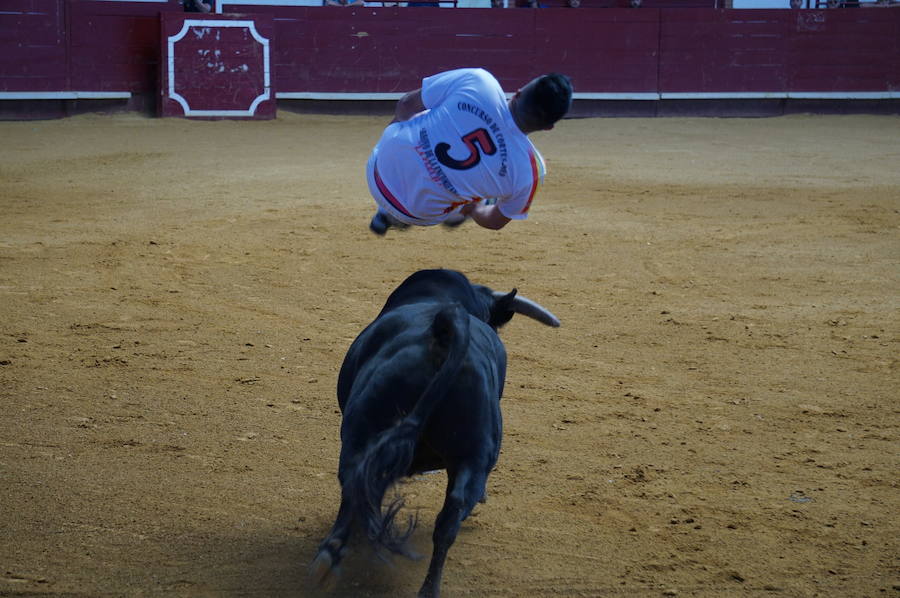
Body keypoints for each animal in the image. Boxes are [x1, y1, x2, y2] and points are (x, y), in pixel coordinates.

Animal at [312, 270, 560, 596]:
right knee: (448, 520)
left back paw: (330, 558)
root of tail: (444, 331)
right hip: (471, 457)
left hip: (360, 435)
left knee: (355, 487)